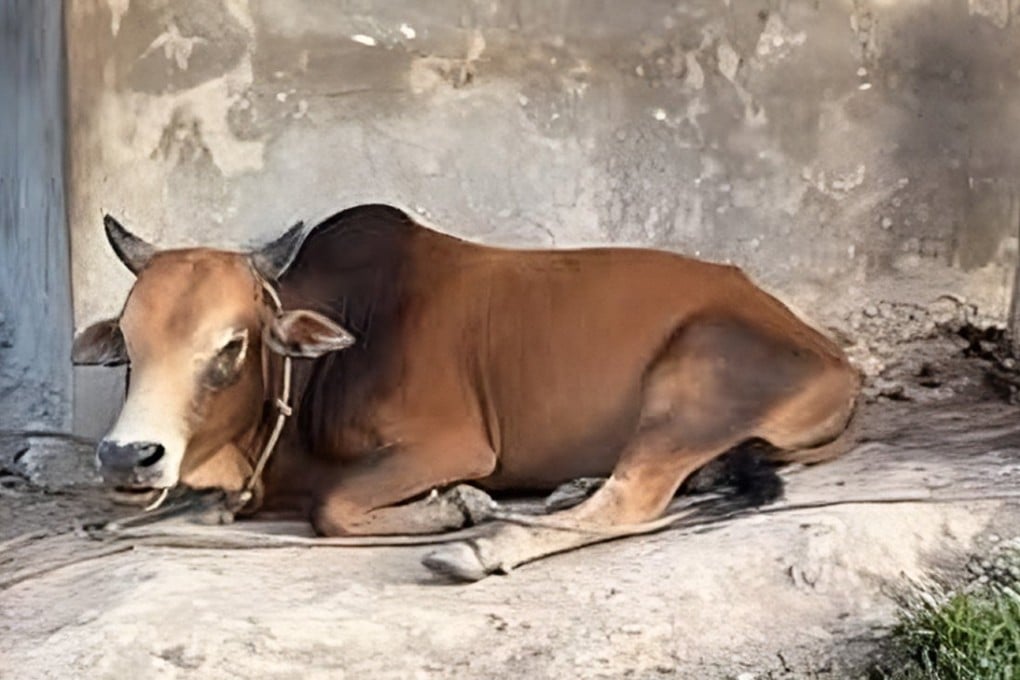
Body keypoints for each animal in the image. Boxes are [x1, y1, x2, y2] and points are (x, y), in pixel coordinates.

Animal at [72, 204, 861, 581]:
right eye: (127, 347)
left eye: (231, 345)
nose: (127, 456)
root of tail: (835, 358)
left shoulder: (450, 443)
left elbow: (333, 507)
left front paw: (457, 508)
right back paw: (570, 489)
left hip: (694, 383)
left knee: (634, 499)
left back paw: (486, 547)